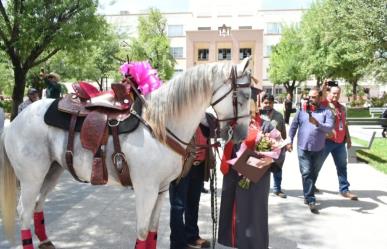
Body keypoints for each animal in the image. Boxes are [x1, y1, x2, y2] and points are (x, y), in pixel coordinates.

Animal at [0, 57, 253, 248]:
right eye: (244, 96)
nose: (241, 134)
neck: (158, 125)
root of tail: (14, 123)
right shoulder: (145, 189)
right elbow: (142, 233)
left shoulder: (161, 191)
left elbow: (151, 233)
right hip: (32, 177)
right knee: (24, 212)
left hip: (52, 171)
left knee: (37, 205)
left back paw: (46, 241)